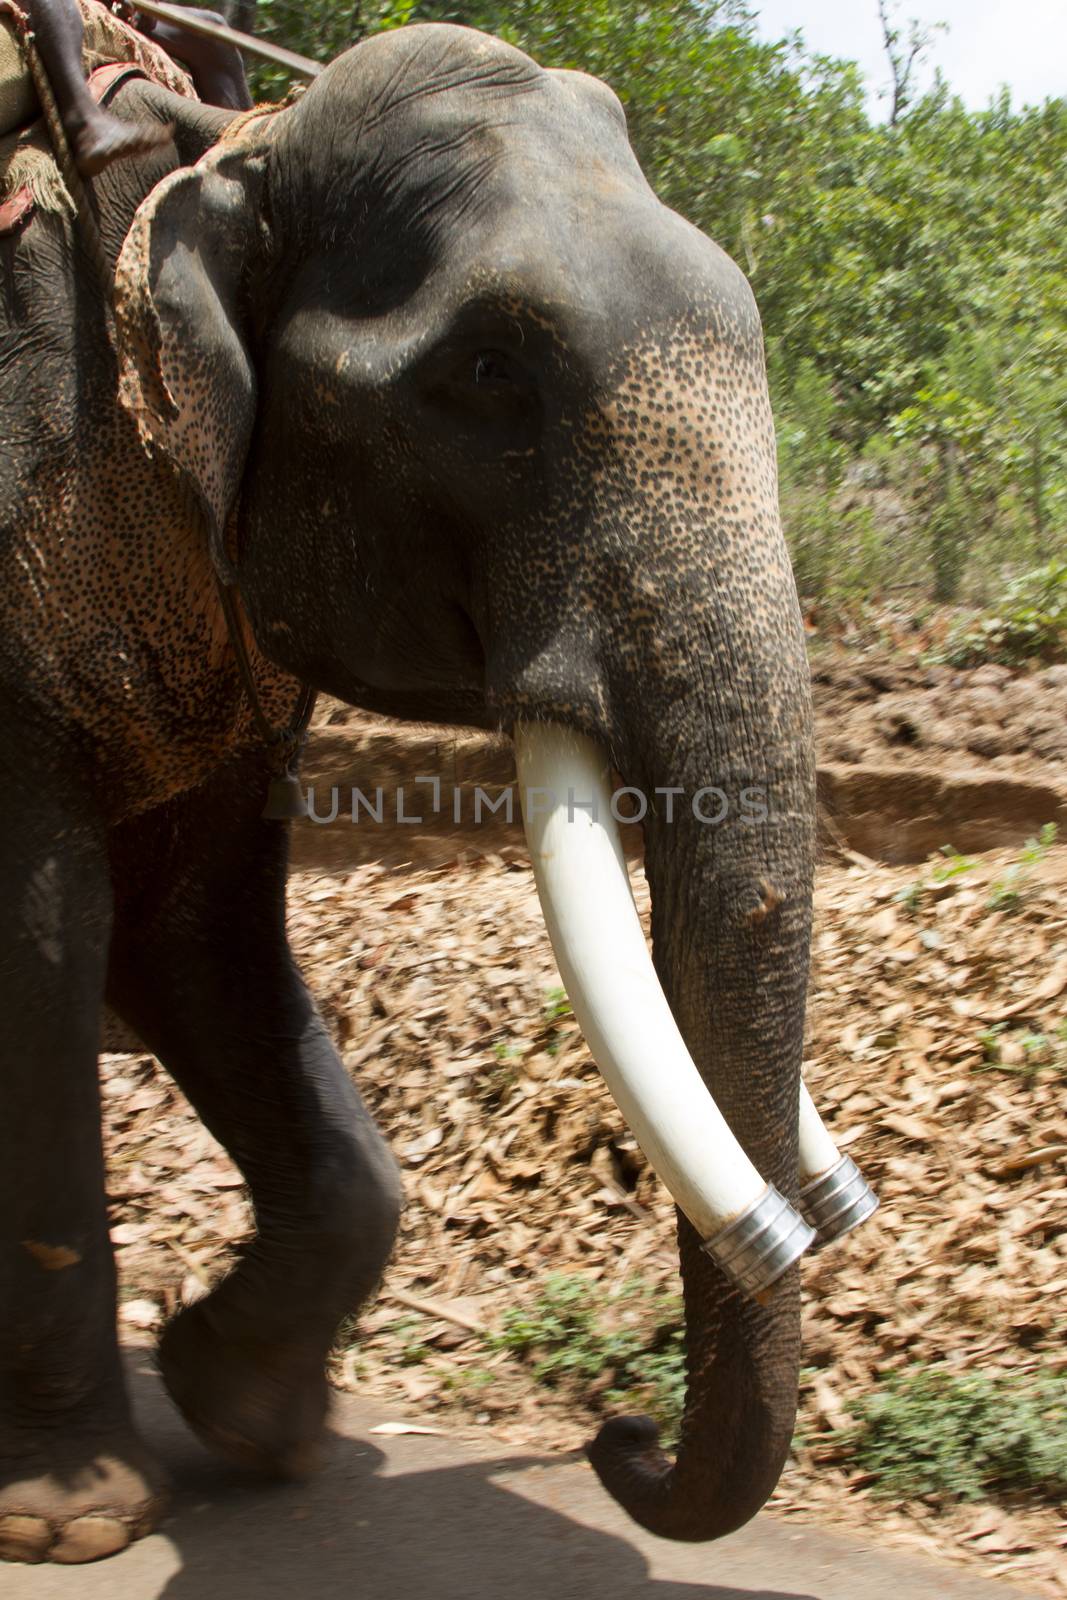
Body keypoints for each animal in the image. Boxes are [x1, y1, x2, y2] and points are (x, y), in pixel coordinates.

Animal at [0, 12, 819, 1561]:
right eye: (490, 372)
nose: (615, 1434)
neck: (217, 151)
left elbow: (198, 933)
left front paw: (252, 1420)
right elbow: (47, 935)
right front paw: (75, 1524)